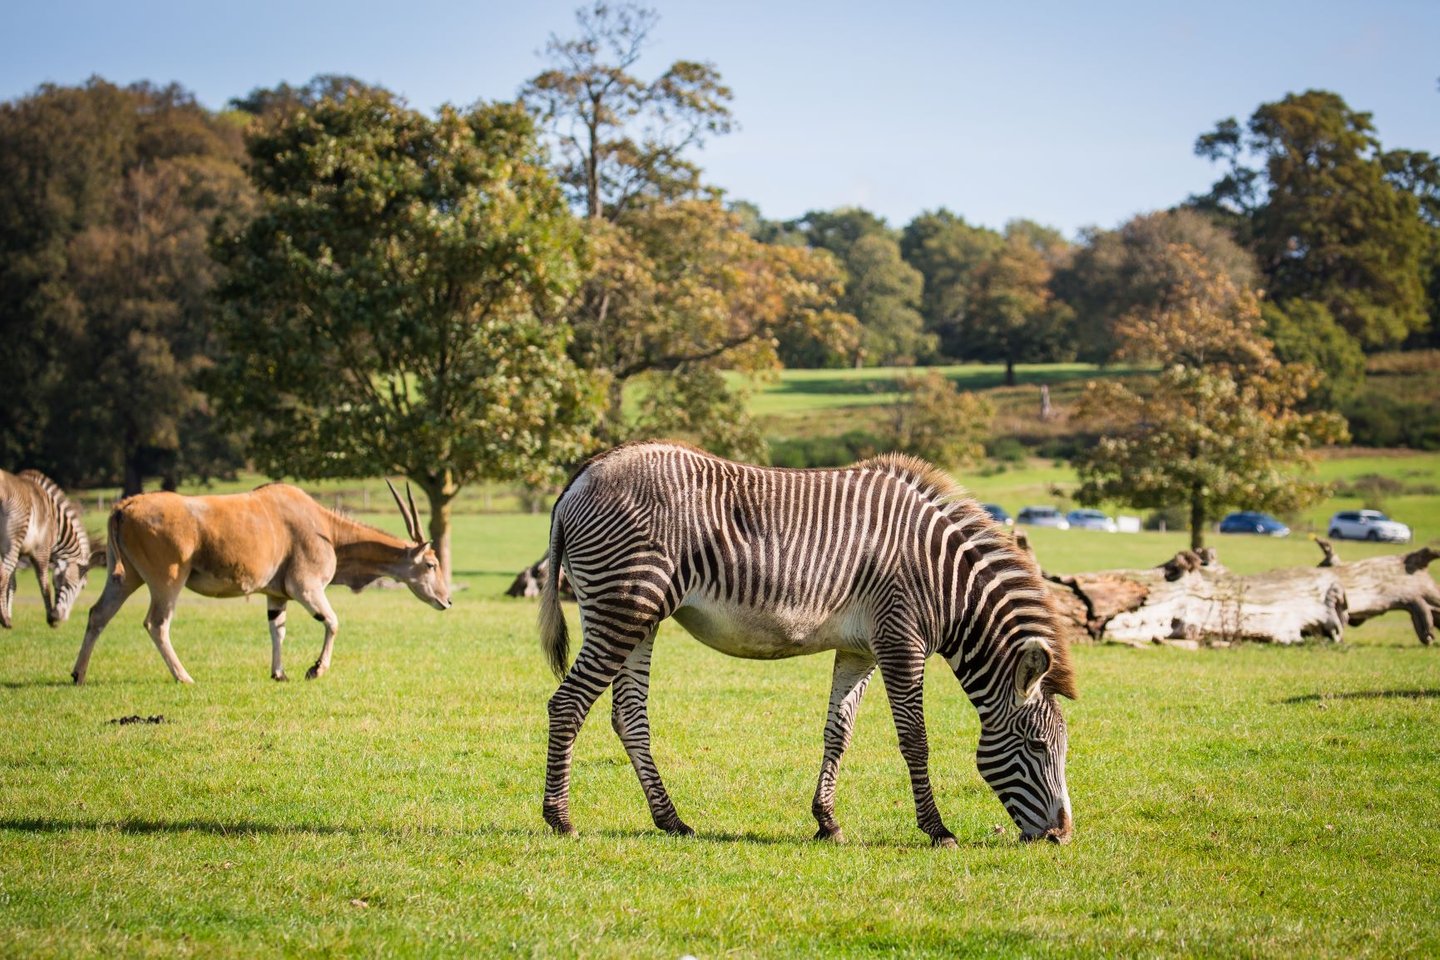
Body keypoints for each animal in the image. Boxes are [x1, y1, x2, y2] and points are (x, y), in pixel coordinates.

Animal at [0, 469, 101, 628]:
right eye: (81, 586)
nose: (60, 617)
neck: (57, 524)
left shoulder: (20, 552)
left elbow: (12, 584)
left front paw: (8, 615)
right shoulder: (41, 551)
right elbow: (44, 584)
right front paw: (50, 618)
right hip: (12, 541)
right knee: (3, 575)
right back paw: (3, 619)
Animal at [71, 480, 450, 684]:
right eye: (431, 564)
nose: (447, 601)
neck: (327, 530)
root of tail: (125, 506)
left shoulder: (277, 596)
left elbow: (277, 629)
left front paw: (279, 673)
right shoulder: (306, 587)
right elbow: (333, 622)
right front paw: (315, 669)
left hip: (125, 578)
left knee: (97, 615)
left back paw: (78, 674)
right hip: (168, 581)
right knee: (156, 623)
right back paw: (184, 676)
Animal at [540, 441, 1077, 847]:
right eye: (1036, 745)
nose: (1061, 835)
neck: (945, 582)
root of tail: (585, 473)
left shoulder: (861, 648)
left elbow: (838, 732)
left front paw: (827, 822)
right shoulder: (900, 640)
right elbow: (915, 739)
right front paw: (937, 830)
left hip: (638, 616)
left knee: (628, 717)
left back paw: (671, 820)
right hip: (623, 607)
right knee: (567, 704)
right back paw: (560, 819)